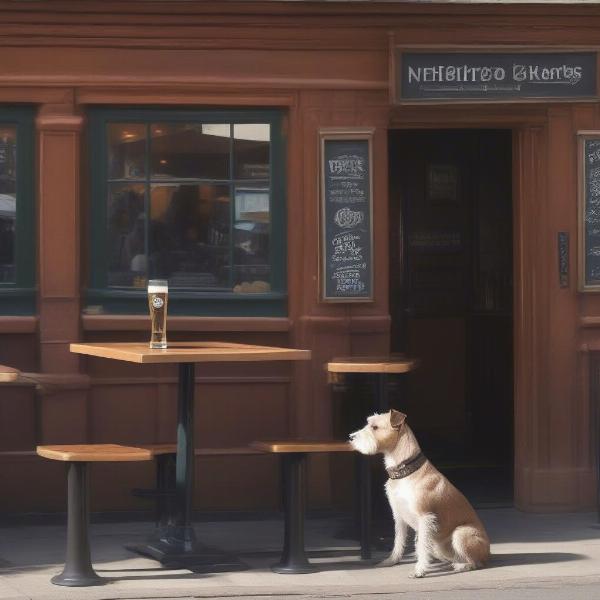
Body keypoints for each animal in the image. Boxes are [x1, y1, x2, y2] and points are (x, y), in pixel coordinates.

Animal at [350, 410, 490, 580]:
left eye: (375, 427)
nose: (351, 437)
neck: (405, 470)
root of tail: (489, 553)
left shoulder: (425, 518)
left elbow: (422, 546)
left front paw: (419, 570)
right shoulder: (399, 516)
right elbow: (399, 542)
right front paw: (391, 561)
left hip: (461, 534)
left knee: (476, 562)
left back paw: (461, 566)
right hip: (439, 546)